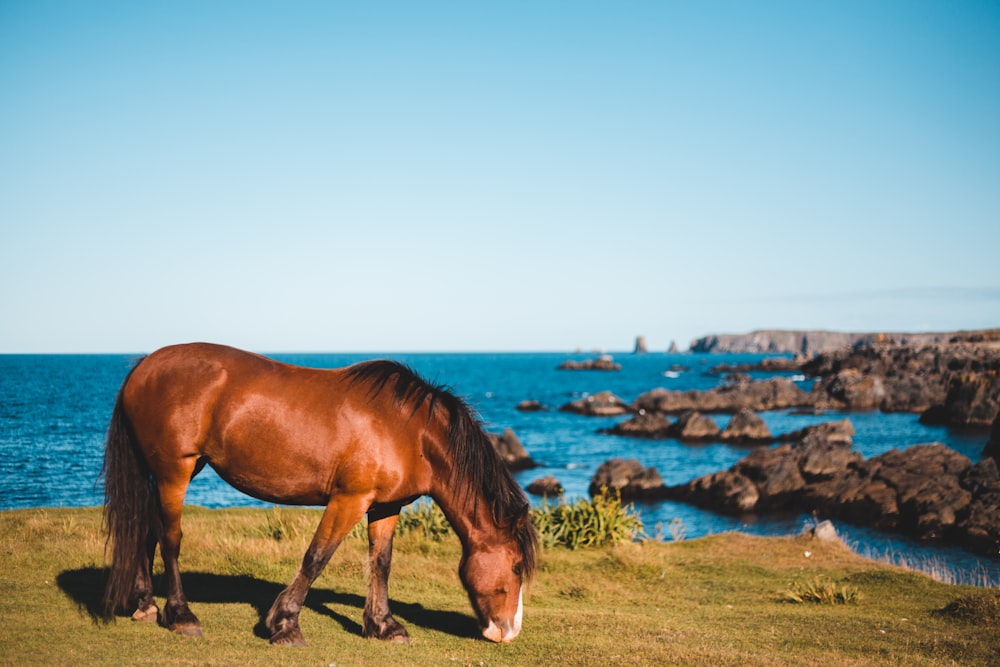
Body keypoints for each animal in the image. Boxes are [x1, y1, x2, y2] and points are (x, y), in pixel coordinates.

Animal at [101, 342, 536, 644]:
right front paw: (284, 623)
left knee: (146, 530)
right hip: (175, 471)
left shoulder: (385, 506)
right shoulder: (349, 500)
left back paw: (145, 604)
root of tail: (144, 366)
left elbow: (381, 563)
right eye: (516, 567)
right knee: (169, 537)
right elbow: (316, 558)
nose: (509, 631)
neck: (410, 431)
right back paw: (181, 615)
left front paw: (384, 625)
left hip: (169, 471)